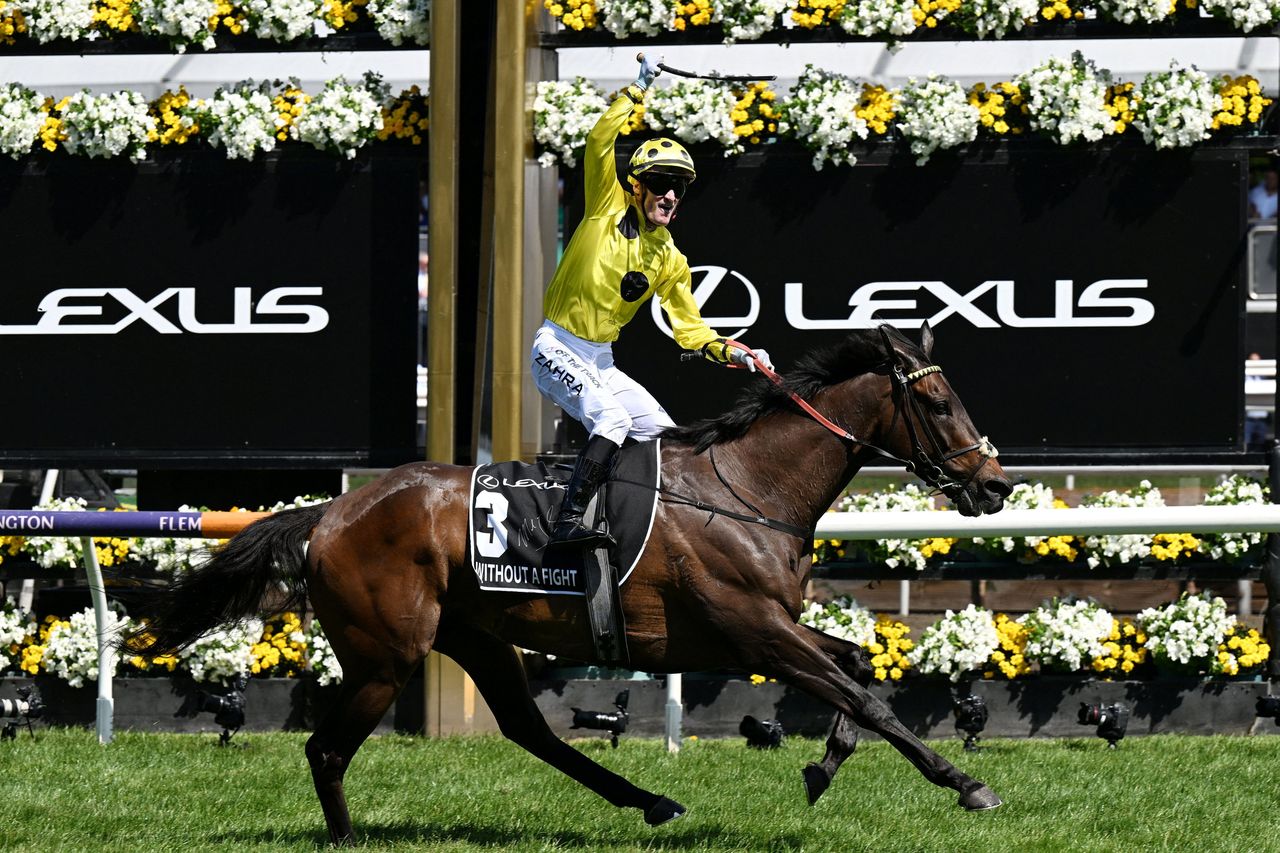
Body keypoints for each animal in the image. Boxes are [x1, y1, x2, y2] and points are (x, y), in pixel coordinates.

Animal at [124, 322, 1013, 840]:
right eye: (939, 401)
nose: (995, 484)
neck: (748, 487)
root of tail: (335, 510)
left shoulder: (767, 627)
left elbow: (856, 671)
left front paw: (823, 766)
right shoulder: (753, 630)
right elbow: (865, 694)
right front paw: (966, 783)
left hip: (474, 636)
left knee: (529, 730)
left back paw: (651, 800)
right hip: (386, 654)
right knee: (326, 747)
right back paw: (346, 837)